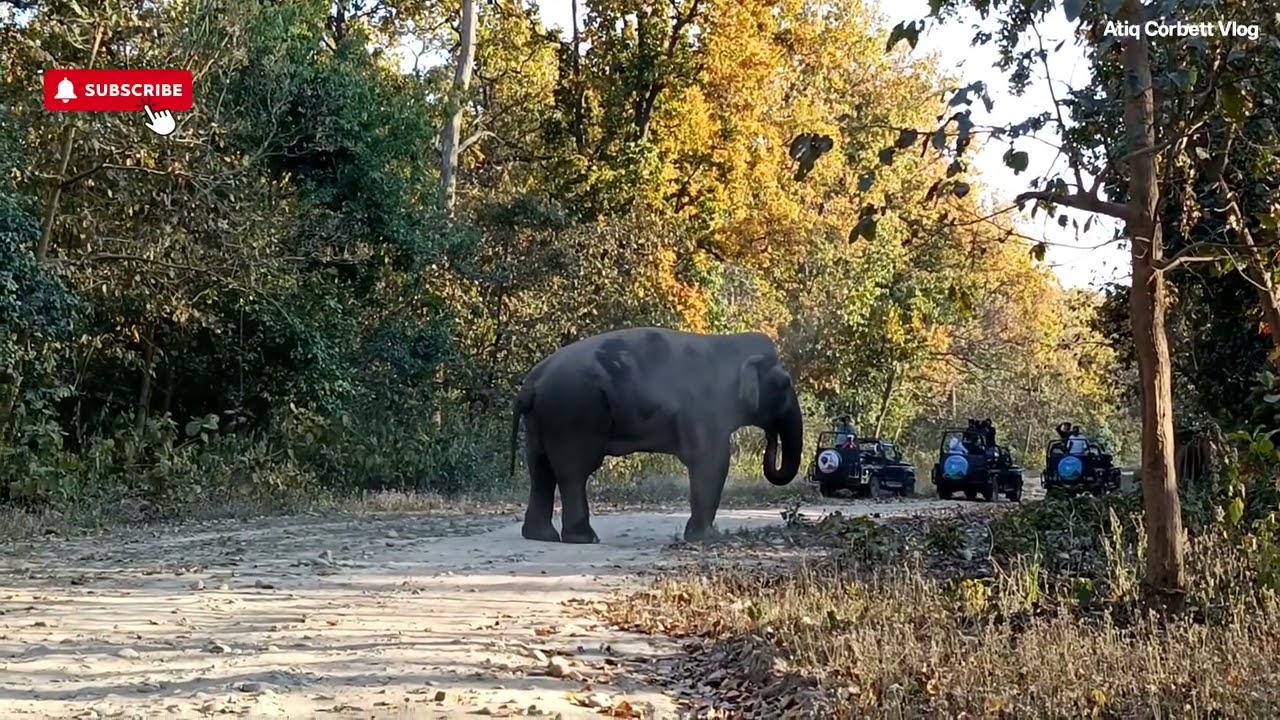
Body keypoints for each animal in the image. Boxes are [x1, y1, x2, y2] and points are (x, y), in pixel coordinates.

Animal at [508, 326, 805, 544]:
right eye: (785, 383)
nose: (771, 436)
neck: (729, 345)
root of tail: (531, 383)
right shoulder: (707, 410)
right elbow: (712, 462)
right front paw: (707, 537)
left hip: (541, 420)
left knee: (540, 469)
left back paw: (541, 536)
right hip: (574, 413)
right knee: (573, 471)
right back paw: (584, 538)